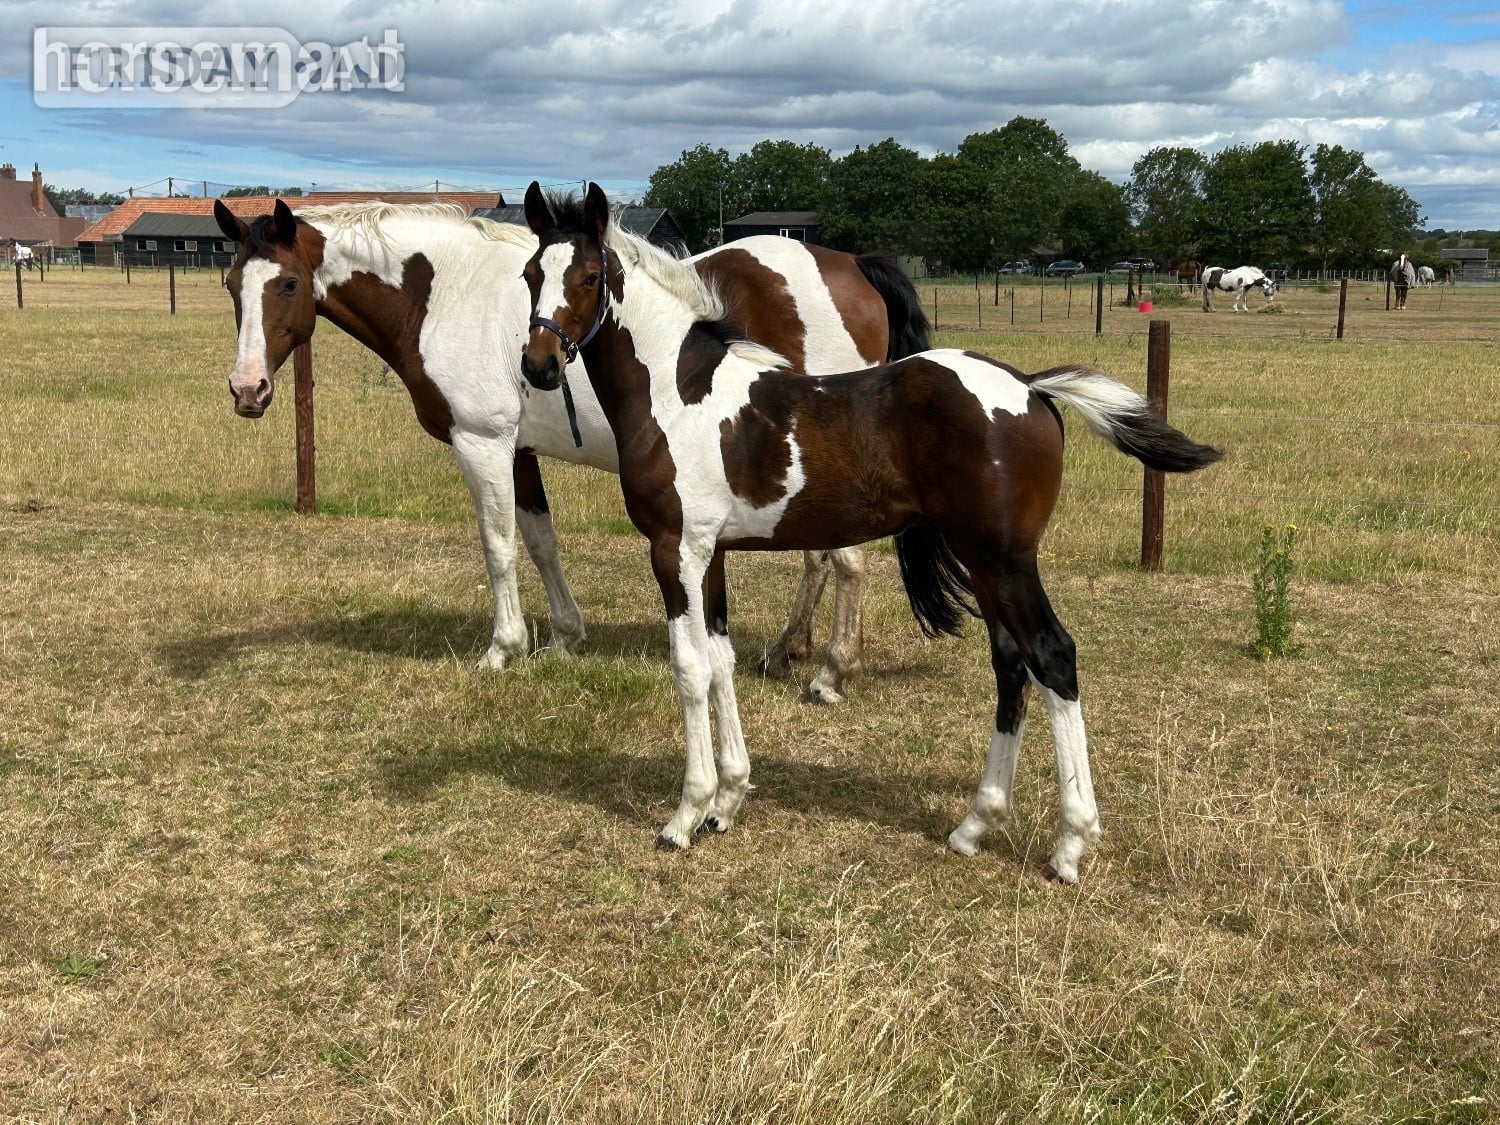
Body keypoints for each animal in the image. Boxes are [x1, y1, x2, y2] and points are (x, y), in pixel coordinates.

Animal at [212, 197, 930, 703]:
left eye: (285, 285)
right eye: (229, 283)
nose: (247, 389)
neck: (443, 292)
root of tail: (851, 266)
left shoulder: (482, 444)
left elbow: (498, 546)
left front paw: (503, 648)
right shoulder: (520, 451)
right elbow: (540, 541)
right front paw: (564, 637)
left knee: (846, 561)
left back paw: (831, 672)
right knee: (820, 558)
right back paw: (788, 650)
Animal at [519, 182, 1223, 883]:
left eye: (588, 278)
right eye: (531, 275)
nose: (539, 366)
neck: (678, 394)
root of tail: (1030, 387)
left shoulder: (676, 552)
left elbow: (689, 669)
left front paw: (686, 816)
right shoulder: (709, 555)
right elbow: (720, 664)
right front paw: (728, 801)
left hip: (1006, 559)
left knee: (1052, 656)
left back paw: (1071, 843)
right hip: (984, 563)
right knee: (1010, 662)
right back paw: (975, 824)